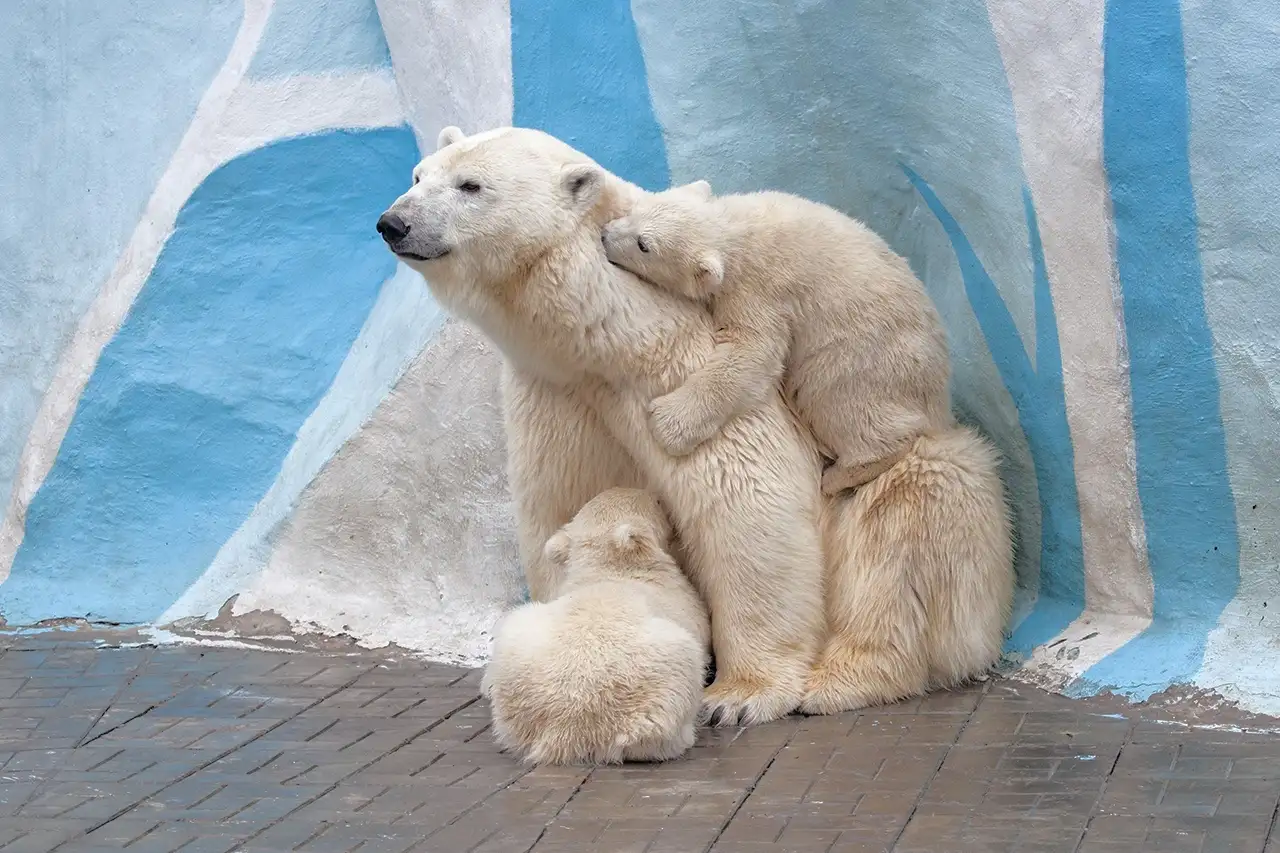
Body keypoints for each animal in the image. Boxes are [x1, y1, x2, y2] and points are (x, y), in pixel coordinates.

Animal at [373, 128, 1013, 722]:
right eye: (417, 174)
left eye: (470, 185)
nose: (392, 223)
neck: (594, 338)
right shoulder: (557, 396)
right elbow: (566, 507)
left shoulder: (668, 354)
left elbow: (745, 497)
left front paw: (738, 695)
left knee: (908, 508)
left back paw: (843, 678)